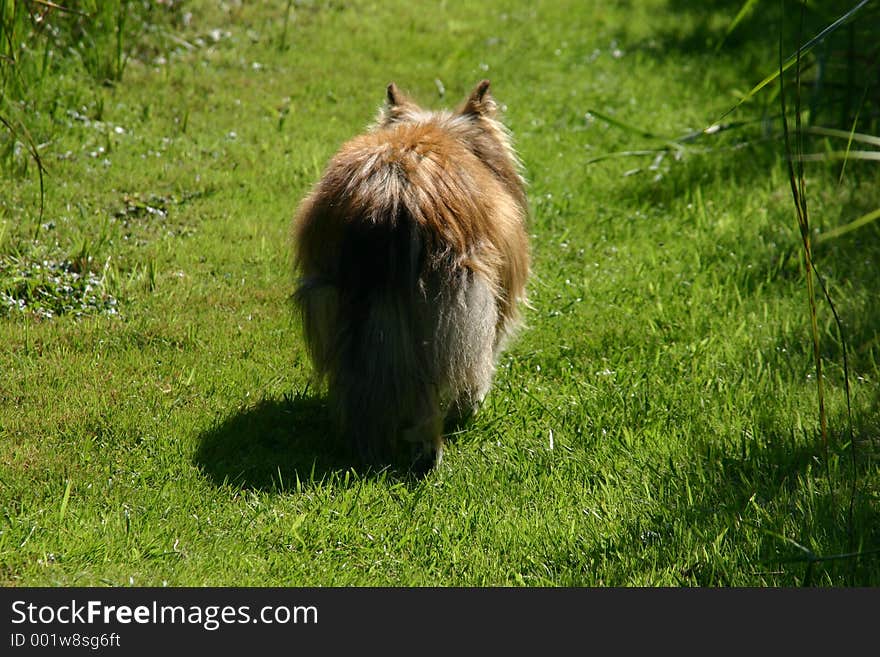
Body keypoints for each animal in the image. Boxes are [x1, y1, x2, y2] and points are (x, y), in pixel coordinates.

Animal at [292, 80, 532, 472]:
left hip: (332, 299)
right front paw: (470, 407)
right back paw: (429, 452)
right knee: (431, 390)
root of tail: (391, 190)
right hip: (453, 304)